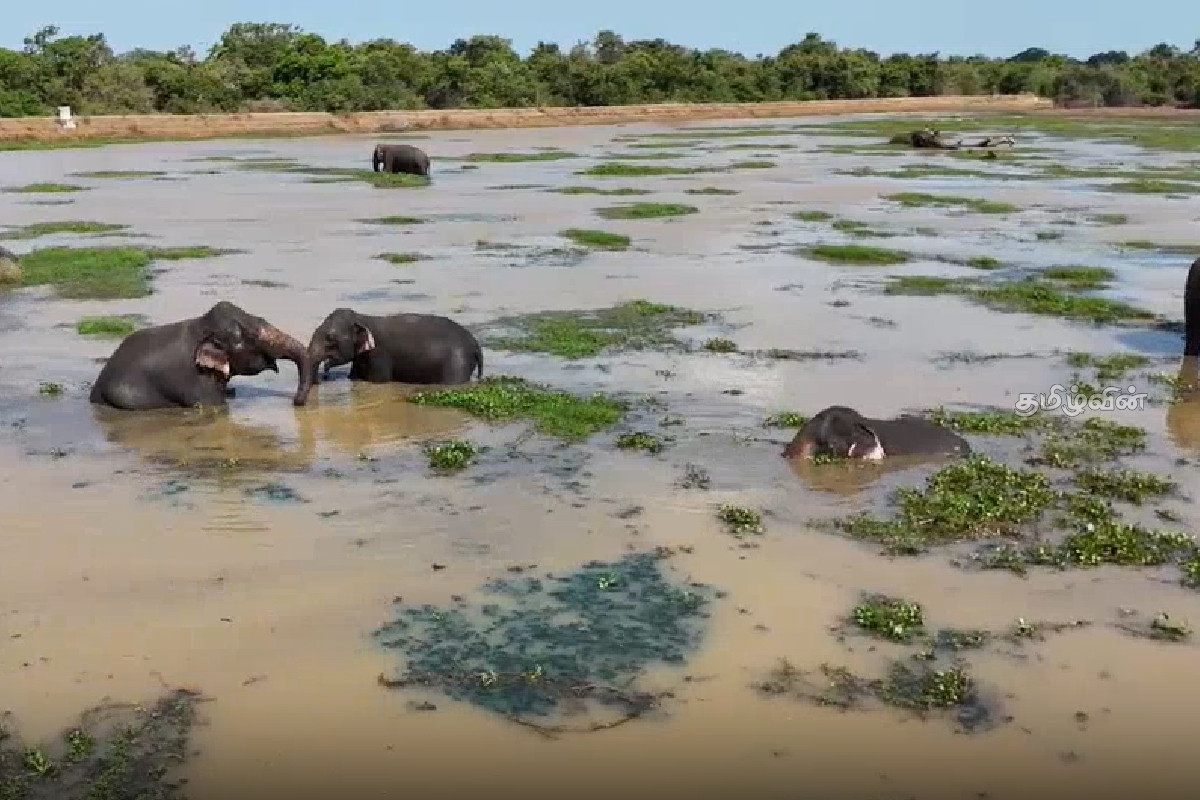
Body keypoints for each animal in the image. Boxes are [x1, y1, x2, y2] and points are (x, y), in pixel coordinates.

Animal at [89, 301, 314, 411]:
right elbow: (215, 406)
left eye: (261, 318)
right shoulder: (197, 380)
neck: (202, 327)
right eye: (251, 336)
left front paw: (231, 392)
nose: (295, 401)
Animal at [304, 308, 483, 391]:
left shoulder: (379, 355)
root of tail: (476, 344)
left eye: (330, 338)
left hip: (457, 362)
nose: (323, 378)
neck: (362, 318)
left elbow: (377, 381)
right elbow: (353, 376)